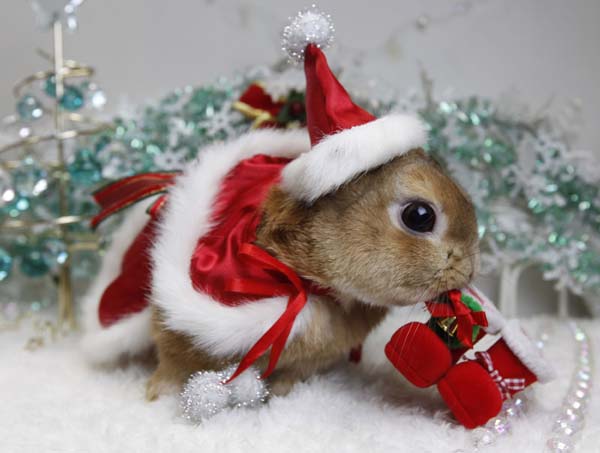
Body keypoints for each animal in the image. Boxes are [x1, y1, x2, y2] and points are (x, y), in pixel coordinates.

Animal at [81, 44, 478, 400]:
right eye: (419, 216)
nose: (469, 268)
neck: (309, 276)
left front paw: (283, 395)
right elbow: (173, 363)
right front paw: (156, 394)